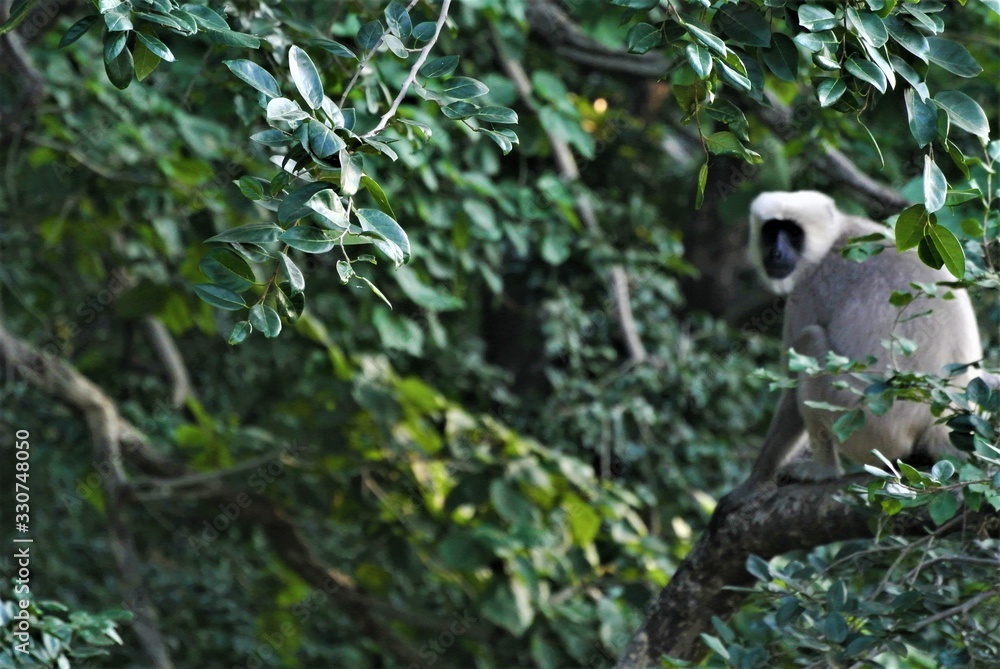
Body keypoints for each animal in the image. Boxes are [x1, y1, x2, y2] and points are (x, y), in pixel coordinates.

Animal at [719, 190, 983, 510]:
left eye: (793, 234)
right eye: (772, 232)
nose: (777, 253)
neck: (837, 236)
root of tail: (937, 427)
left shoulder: (809, 287)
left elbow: (789, 391)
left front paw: (753, 484)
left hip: (871, 428)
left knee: (810, 341)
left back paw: (824, 471)